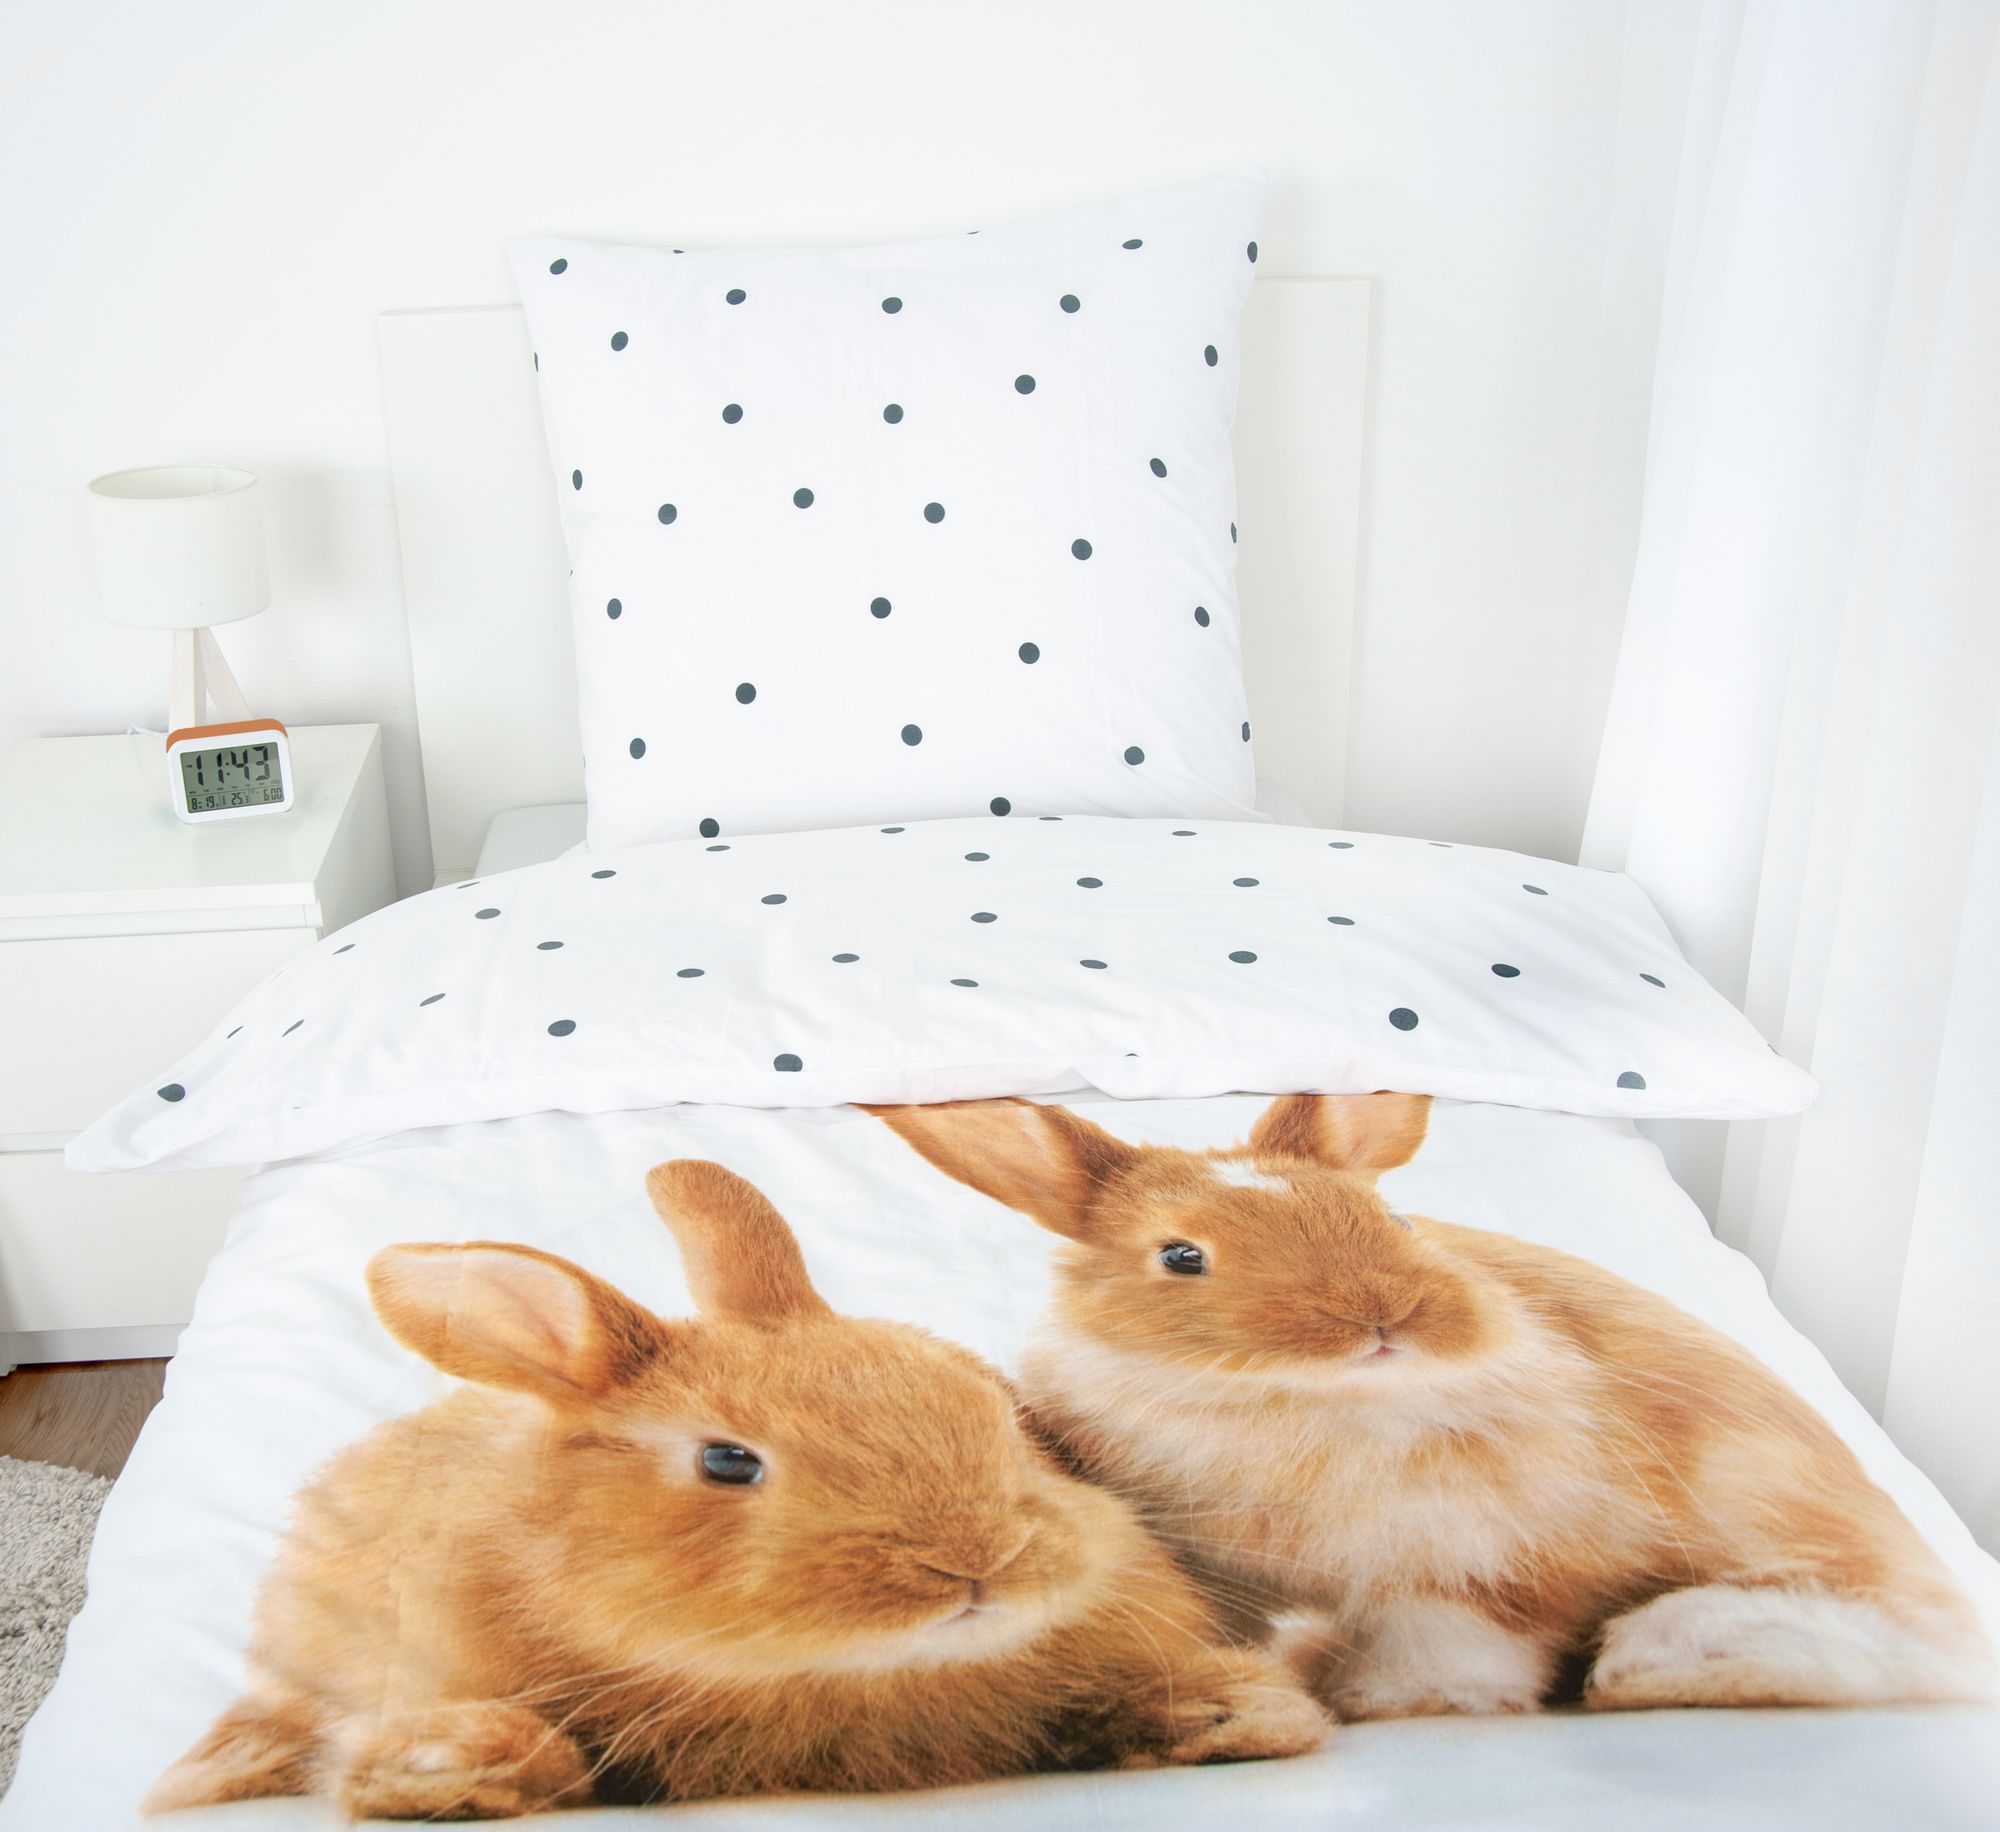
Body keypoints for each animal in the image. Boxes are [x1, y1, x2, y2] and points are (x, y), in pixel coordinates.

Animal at [869, 1093, 1994, 1721]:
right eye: (1180, 1256)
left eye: (1394, 1219)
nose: (1383, 1317)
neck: (1291, 1403)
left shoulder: (1479, 1567)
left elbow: (1451, 1639)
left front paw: (1397, 1696)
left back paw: (1675, 1659)